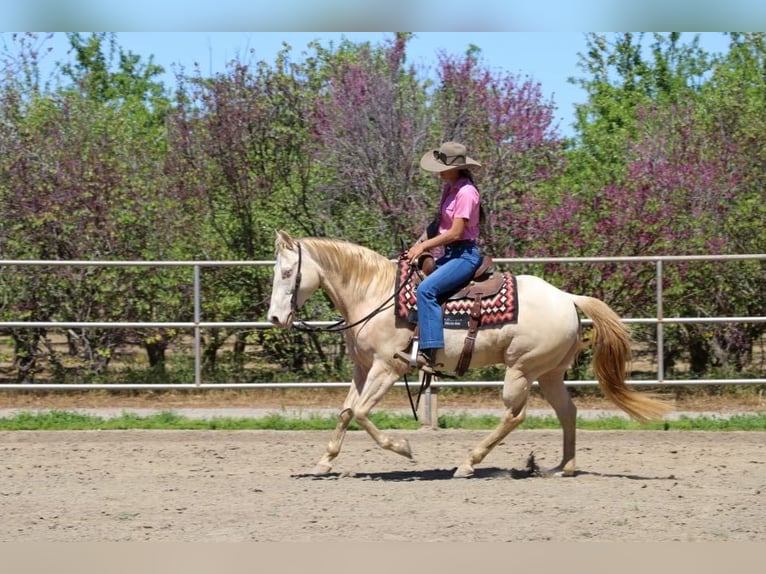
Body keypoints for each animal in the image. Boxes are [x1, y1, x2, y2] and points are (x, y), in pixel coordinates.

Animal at [268, 232, 672, 480]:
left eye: (287, 272)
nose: (274, 318)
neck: (376, 295)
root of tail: (568, 298)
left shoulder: (388, 367)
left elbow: (363, 414)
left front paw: (404, 448)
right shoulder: (362, 367)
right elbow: (347, 411)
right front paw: (324, 462)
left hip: (521, 368)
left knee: (515, 415)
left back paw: (468, 463)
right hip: (549, 372)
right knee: (567, 412)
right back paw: (563, 467)